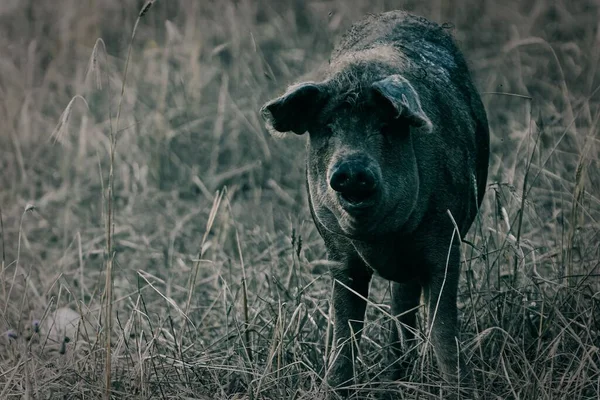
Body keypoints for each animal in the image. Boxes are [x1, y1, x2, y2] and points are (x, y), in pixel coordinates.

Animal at [260, 9, 490, 396]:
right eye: (327, 128)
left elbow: (443, 327)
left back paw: (397, 375)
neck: (381, 240)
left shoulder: (446, 242)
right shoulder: (338, 255)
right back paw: (394, 375)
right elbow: (344, 330)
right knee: (400, 305)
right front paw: (332, 390)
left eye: (385, 127)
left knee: (404, 305)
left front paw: (462, 390)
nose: (351, 168)